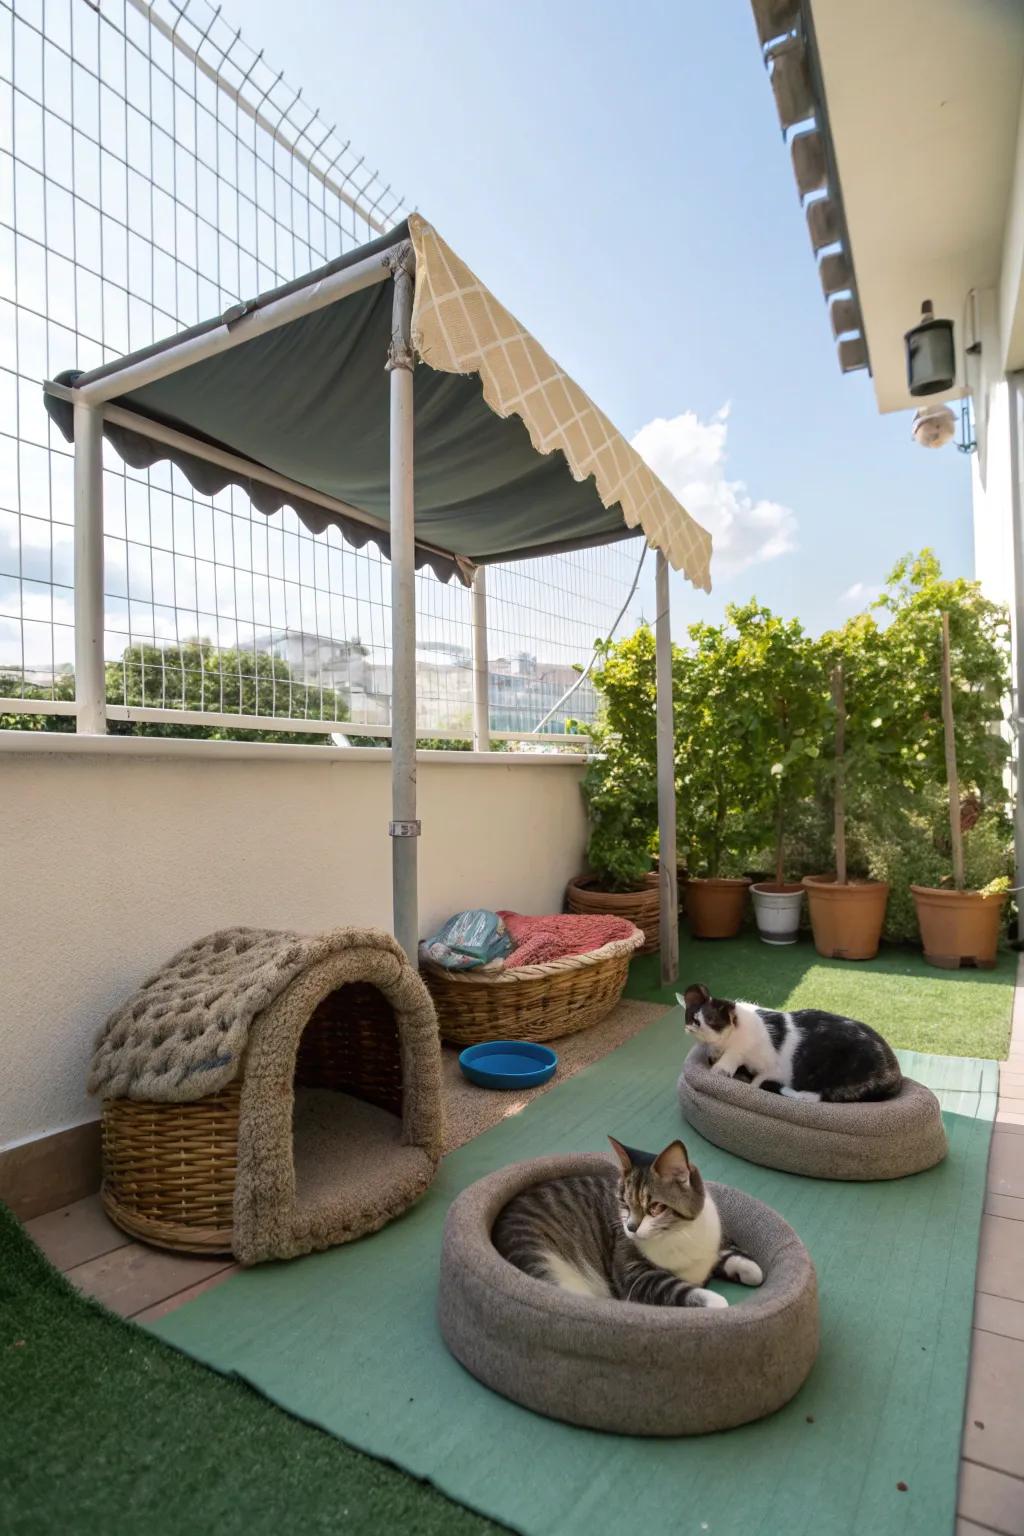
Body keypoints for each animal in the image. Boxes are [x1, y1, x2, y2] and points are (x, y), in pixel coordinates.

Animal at [491, 1136, 764, 1314]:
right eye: (623, 1202)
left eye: (655, 1207)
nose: (631, 1228)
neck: (680, 1234)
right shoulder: (635, 1274)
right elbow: (694, 1293)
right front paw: (718, 1301)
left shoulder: (713, 1245)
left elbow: (742, 1263)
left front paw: (747, 1270)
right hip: (541, 1260)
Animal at [684, 983, 902, 1105]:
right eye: (692, 1017)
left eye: (711, 1019)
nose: (695, 1024)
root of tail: (896, 1076)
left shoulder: (772, 1070)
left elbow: (754, 1082)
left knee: (817, 1096)